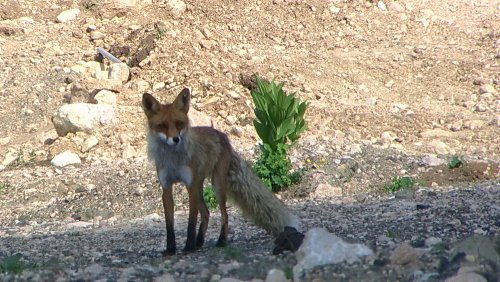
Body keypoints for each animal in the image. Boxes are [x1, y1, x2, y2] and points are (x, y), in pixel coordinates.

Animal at [142, 87, 300, 254]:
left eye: (179, 124)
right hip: (198, 187)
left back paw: (221, 240)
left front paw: (189, 247)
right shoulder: (166, 188)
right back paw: (200, 241)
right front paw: (171, 249)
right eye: (163, 125)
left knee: (224, 215)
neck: (173, 161)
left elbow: (191, 222)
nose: (176, 139)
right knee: (206, 213)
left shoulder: (190, 187)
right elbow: (169, 225)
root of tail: (222, 135)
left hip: (216, 185)